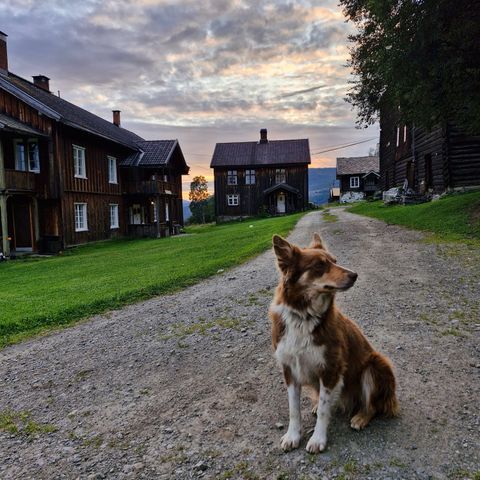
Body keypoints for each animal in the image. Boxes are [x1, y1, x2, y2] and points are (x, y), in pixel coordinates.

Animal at [270, 234, 398, 452]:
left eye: (335, 261)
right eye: (320, 265)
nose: (354, 275)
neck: (304, 316)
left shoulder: (331, 367)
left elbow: (324, 409)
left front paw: (317, 439)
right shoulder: (289, 368)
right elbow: (294, 409)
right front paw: (292, 435)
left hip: (375, 365)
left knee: (372, 405)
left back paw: (360, 417)